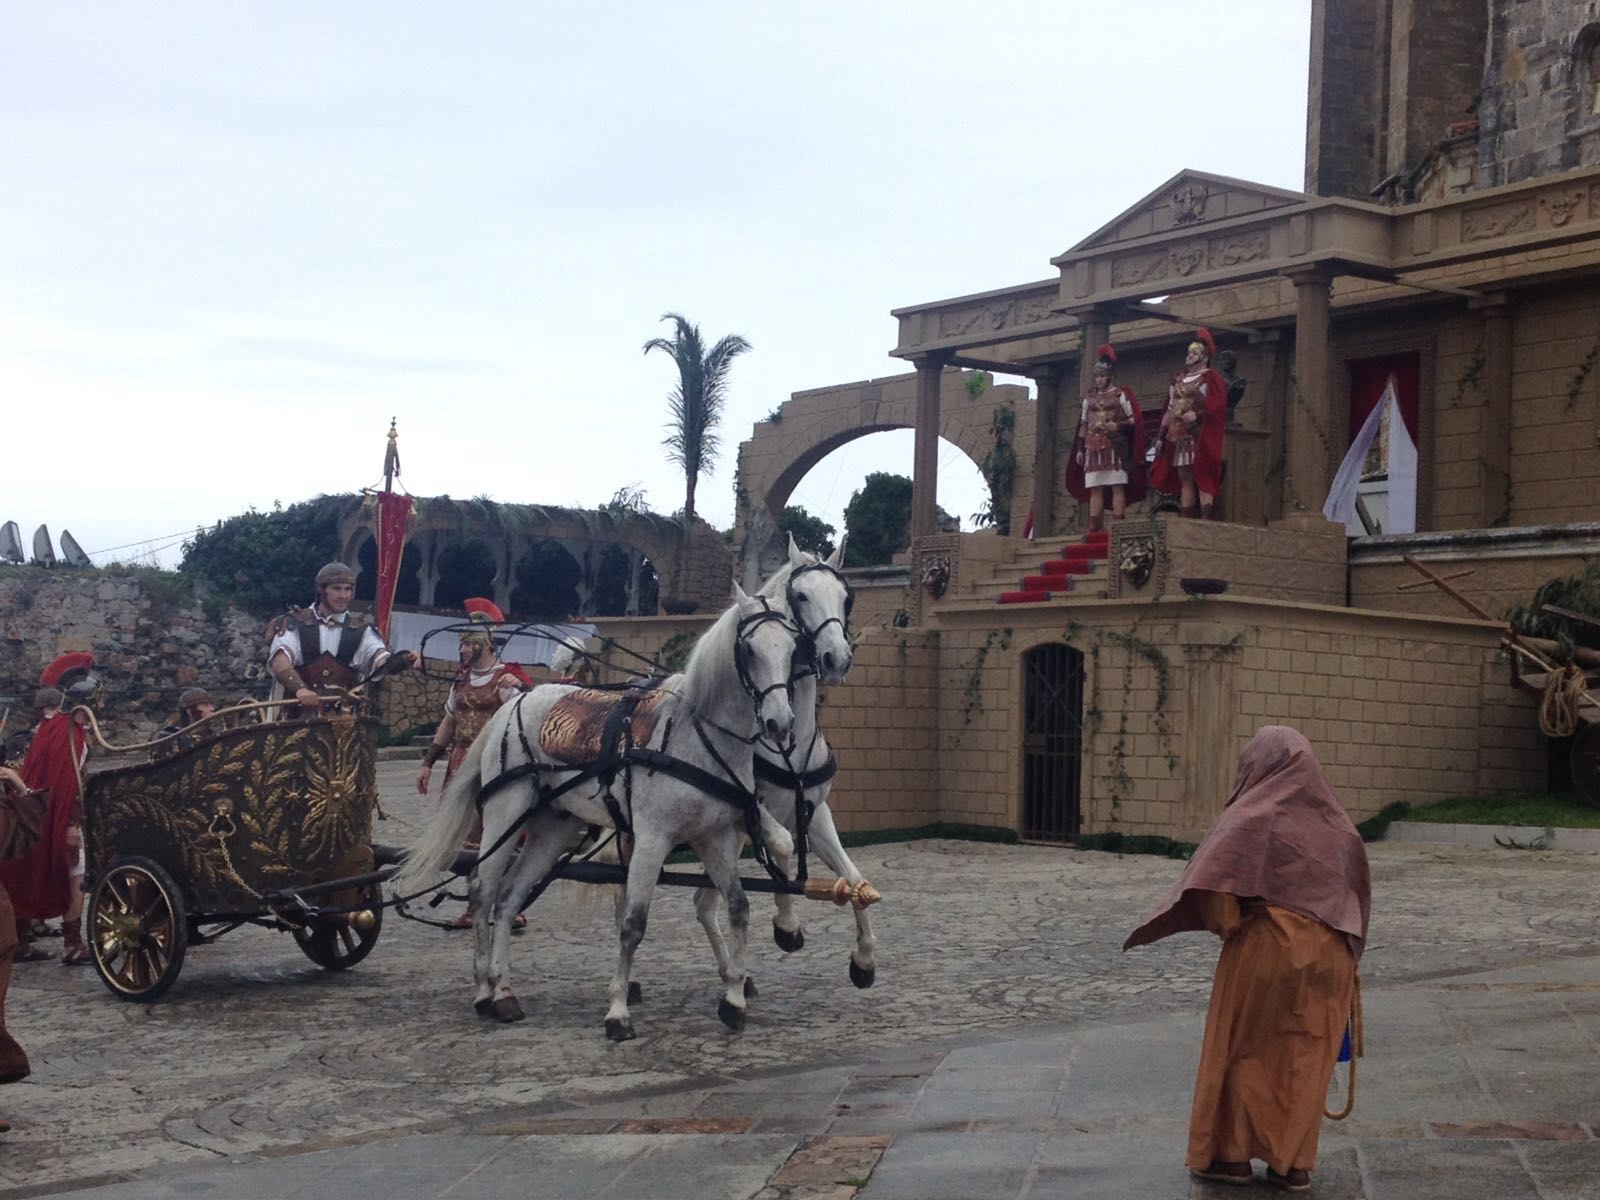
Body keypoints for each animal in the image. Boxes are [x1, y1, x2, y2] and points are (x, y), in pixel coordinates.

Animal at [398, 588, 800, 1036]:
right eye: (748, 650)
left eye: (792, 648)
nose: (780, 722)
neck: (694, 737)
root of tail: (513, 702)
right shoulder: (653, 839)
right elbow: (633, 923)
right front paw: (618, 1010)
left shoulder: (716, 837)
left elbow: (739, 907)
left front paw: (734, 996)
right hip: (505, 818)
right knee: (483, 892)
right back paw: (485, 990)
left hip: (551, 831)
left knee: (507, 899)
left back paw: (504, 992)